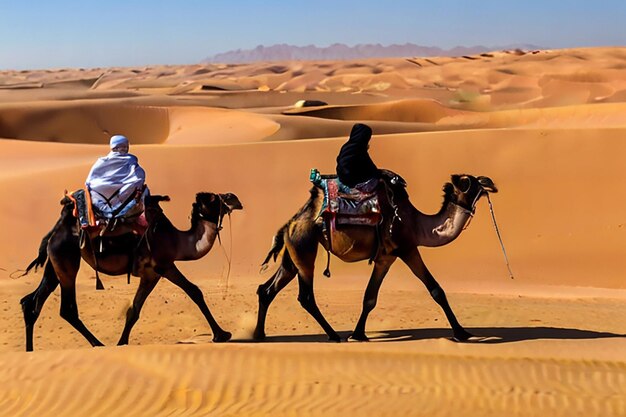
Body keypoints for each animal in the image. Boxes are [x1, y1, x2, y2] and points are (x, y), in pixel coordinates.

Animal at [18, 192, 243, 352]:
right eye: (213, 197)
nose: (234, 198)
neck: (178, 241)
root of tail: (55, 232)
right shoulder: (165, 265)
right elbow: (195, 291)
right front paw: (222, 335)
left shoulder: (151, 274)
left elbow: (134, 310)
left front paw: (122, 342)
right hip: (67, 260)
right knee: (67, 309)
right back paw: (98, 344)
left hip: (55, 263)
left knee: (31, 302)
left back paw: (30, 350)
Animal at [255, 172, 498, 342]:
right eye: (470, 181)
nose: (490, 183)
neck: (418, 225)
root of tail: (289, 224)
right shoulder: (408, 249)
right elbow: (436, 290)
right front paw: (462, 333)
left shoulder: (385, 258)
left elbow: (369, 297)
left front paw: (358, 334)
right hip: (305, 249)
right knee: (305, 296)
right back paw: (333, 335)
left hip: (293, 253)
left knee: (266, 289)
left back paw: (259, 334)